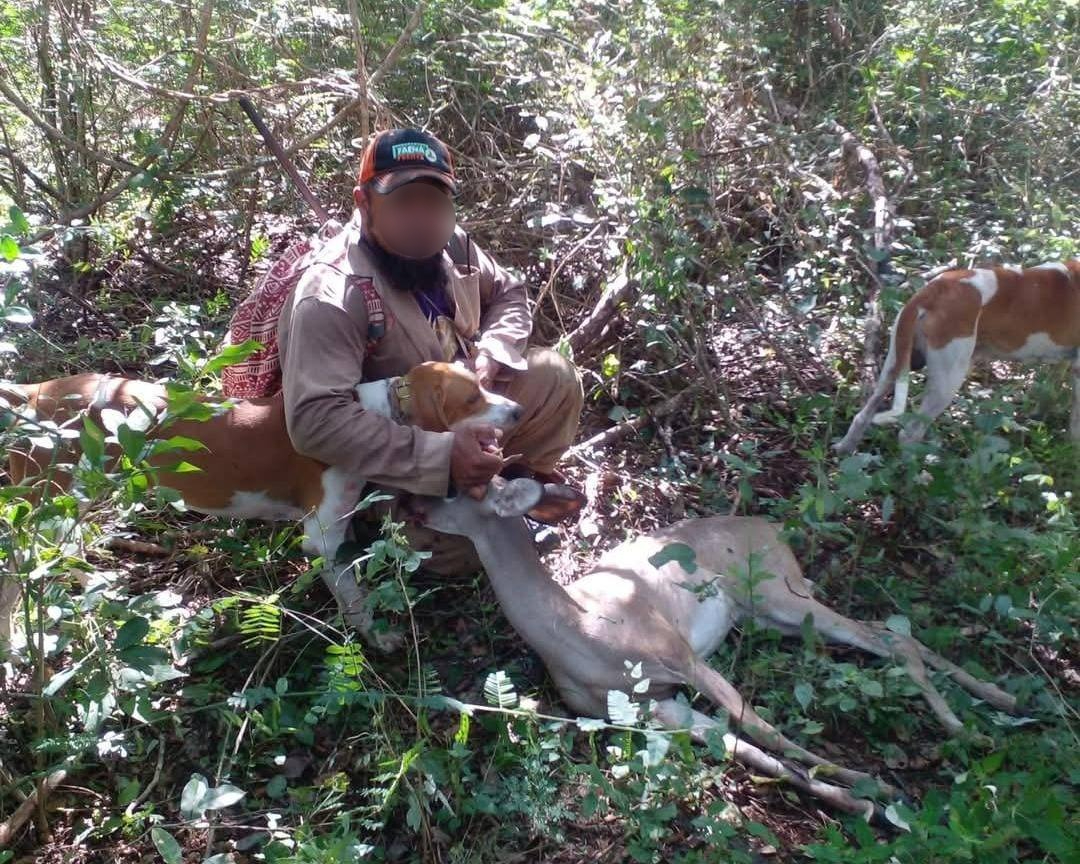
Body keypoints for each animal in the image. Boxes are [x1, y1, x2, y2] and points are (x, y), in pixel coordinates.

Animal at [0, 360, 522, 652]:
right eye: (471, 398)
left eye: (483, 384)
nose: (516, 410)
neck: (376, 415)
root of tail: (34, 394)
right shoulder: (323, 539)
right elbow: (355, 600)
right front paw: (376, 639)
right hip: (48, 509)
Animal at [833, 261, 1080, 451]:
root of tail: (933, 290)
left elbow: (1049, 394)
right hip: (947, 381)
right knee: (910, 434)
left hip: (893, 364)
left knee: (863, 416)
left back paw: (844, 449)